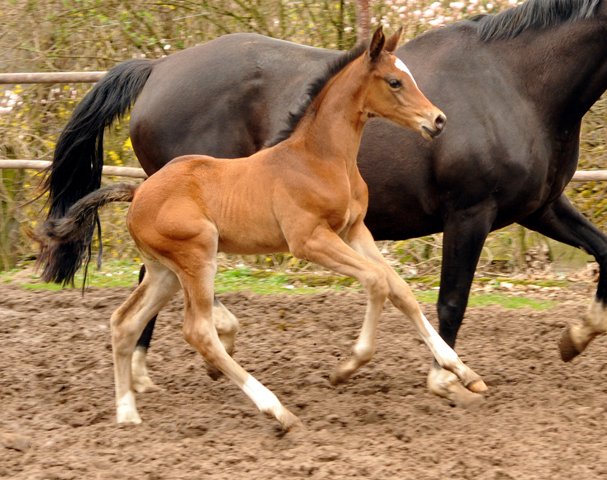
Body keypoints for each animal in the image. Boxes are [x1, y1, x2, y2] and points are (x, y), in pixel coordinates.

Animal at [38, 28, 486, 430]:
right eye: (395, 81)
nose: (438, 120)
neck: (321, 158)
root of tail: (138, 190)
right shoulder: (309, 240)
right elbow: (377, 281)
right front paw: (347, 365)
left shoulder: (355, 231)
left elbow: (400, 289)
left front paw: (463, 372)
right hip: (198, 255)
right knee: (198, 331)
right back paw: (277, 410)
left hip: (166, 271)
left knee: (124, 322)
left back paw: (128, 412)